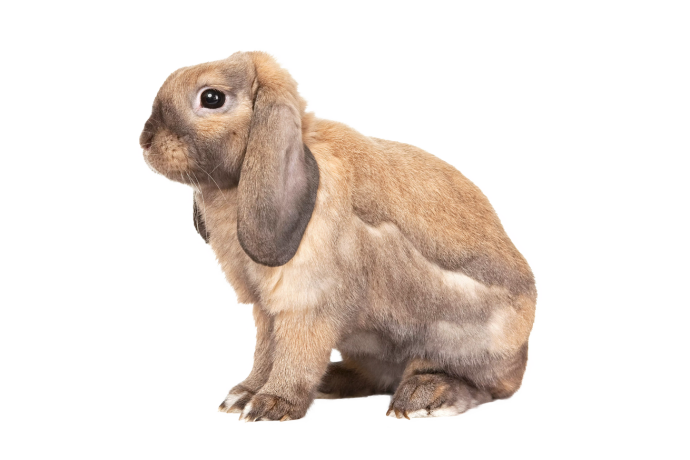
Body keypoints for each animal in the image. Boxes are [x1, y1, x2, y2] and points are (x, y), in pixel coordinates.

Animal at [138, 50, 539, 422]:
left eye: (211, 98)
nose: (146, 141)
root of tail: (522, 348)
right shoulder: (267, 310)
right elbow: (266, 351)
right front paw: (243, 395)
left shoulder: (308, 305)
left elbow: (296, 355)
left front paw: (271, 404)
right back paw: (333, 381)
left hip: (459, 339)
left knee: (482, 383)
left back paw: (425, 395)